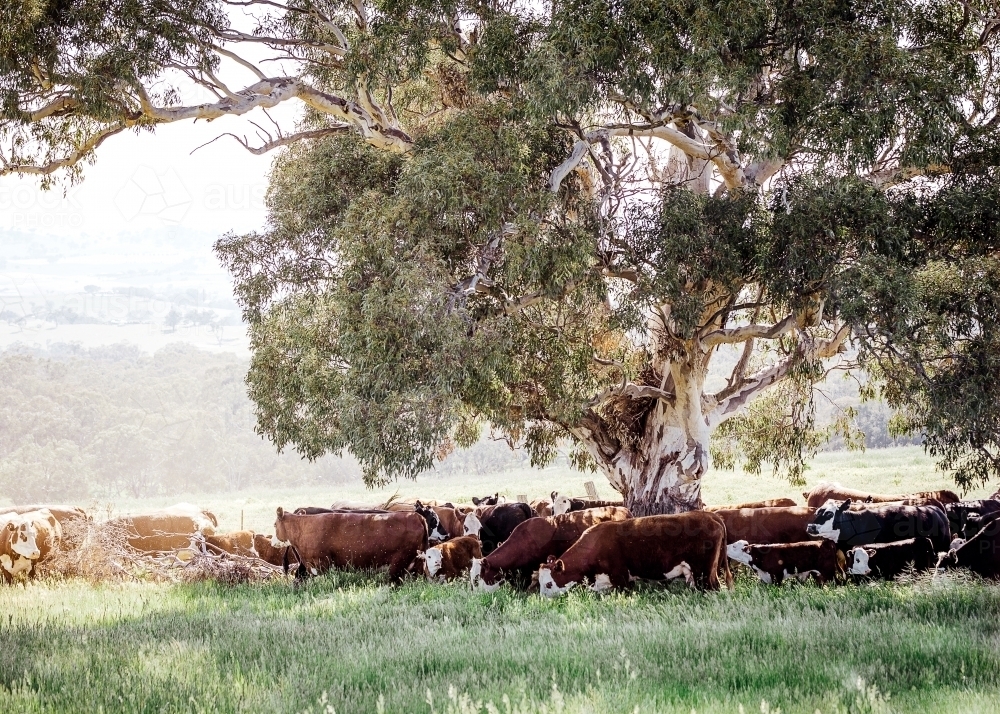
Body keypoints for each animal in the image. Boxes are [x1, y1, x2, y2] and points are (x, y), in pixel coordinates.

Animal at [536, 508, 732, 592]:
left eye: (548, 584)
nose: (544, 600)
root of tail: (710, 515)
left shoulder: (620, 577)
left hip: (705, 571)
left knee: (712, 587)